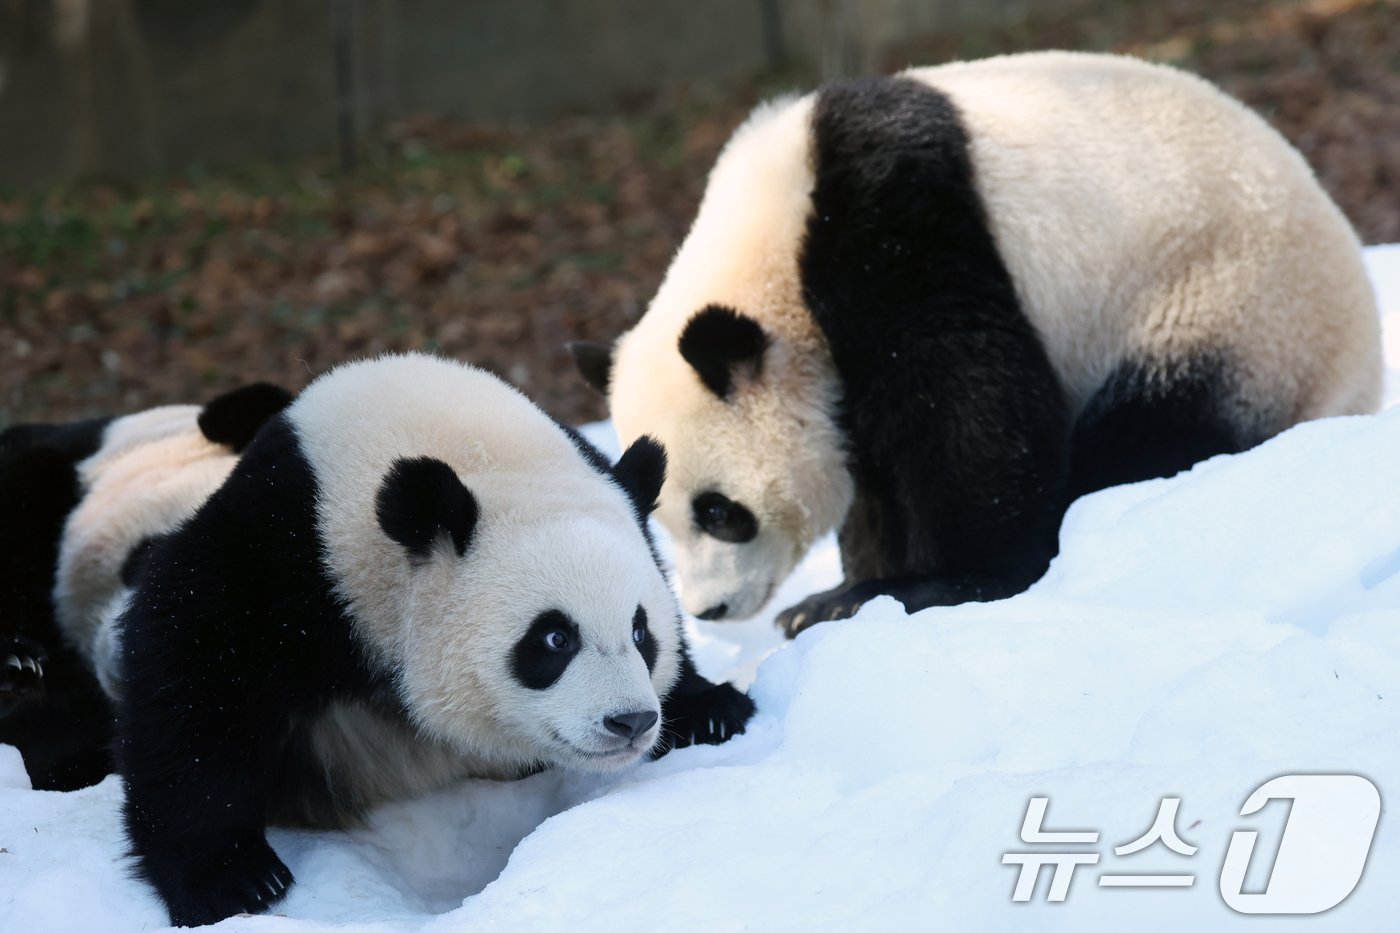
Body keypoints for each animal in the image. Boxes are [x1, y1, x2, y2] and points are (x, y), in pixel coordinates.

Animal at [568, 49, 1377, 633]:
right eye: (661, 515)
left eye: (718, 510)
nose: (711, 609)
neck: (775, 242)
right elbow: (875, 468)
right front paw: (851, 586)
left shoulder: (897, 228)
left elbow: (970, 409)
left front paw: (926, 586)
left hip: (1227, 308)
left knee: (1156, 430)